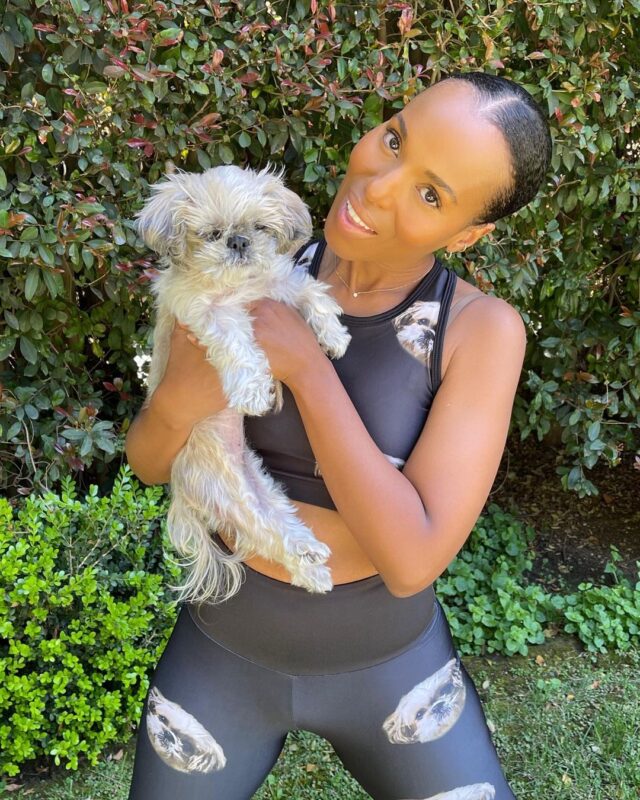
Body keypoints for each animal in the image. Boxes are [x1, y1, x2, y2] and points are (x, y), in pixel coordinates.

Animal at [136, 169, 352, 604]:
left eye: (259, 227)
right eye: (212, 233)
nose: (238, 241)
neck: (239, 288)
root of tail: (181, 489)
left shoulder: (280, 284)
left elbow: (313, 294)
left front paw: (334, 337)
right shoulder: (210, 313)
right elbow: (238, 343)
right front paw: (253, 391)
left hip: (264, 490)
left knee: (282, 527)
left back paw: (312, 557)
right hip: (235, 500)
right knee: (268, 537)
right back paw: (312, 569)